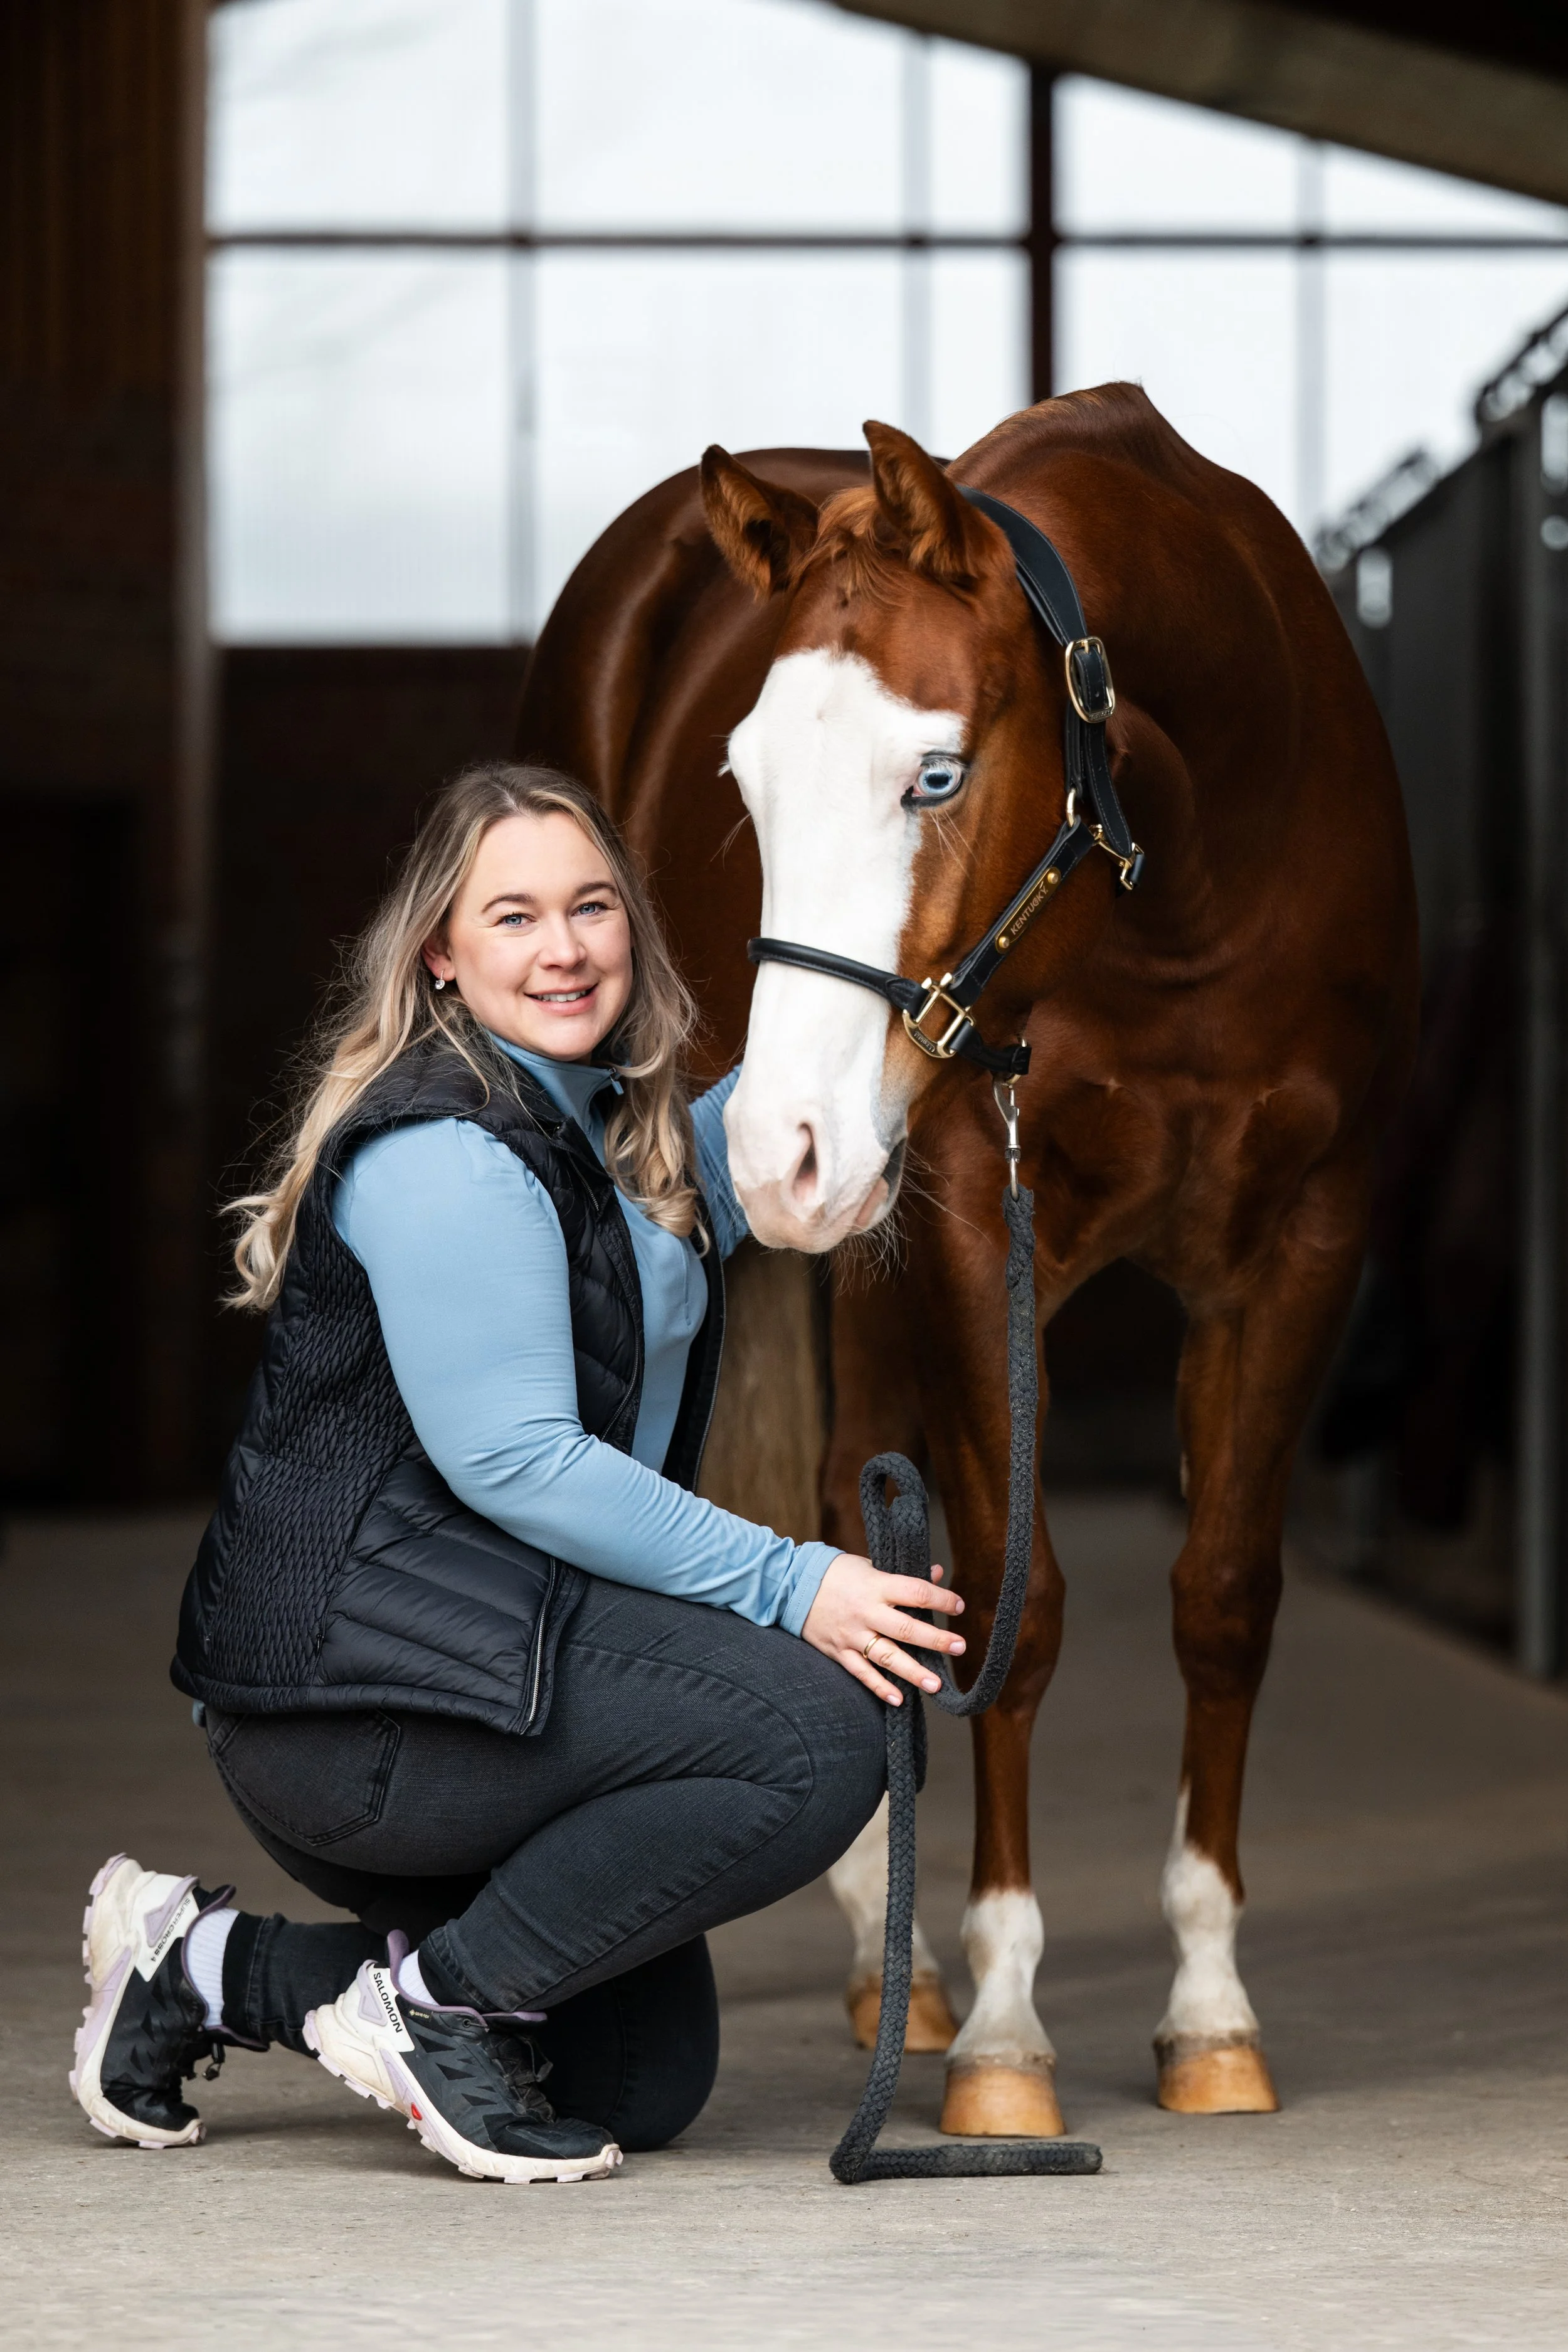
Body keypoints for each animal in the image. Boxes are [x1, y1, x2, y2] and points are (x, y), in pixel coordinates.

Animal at [515, 386, 1418, 2135]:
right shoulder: (958, 1224)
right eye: (741, 780)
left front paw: (1209, 2013)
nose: (776, 1149)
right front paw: (1005, 2032)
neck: (1191, 889)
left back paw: (901, 1966)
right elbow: (1011, 1601)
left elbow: (1221, 1596)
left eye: (934, 775)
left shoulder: (1302, 1244)